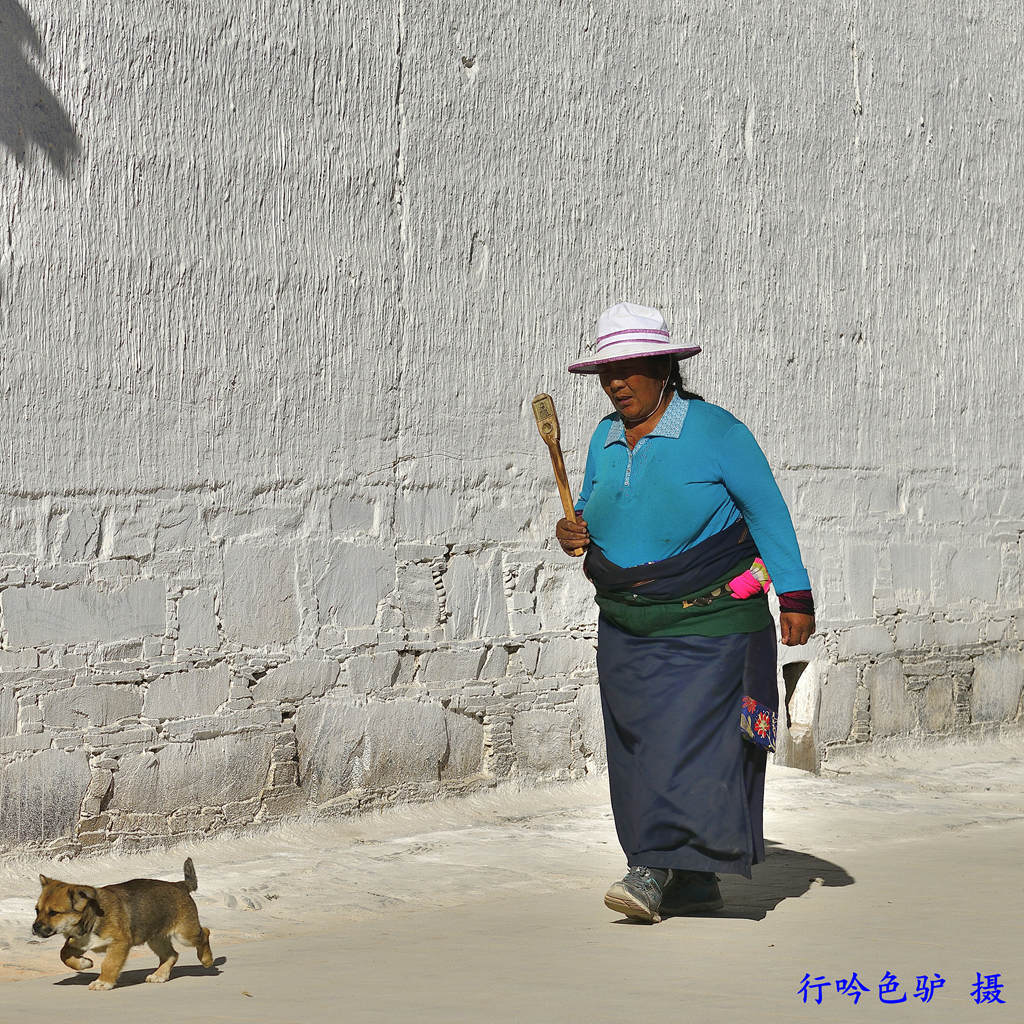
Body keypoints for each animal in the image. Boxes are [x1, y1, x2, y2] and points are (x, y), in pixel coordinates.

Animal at [32, 856, 214, 991]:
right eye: (36, 910)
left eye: (53, 913)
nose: (34, 928)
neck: (92, 919)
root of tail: (180, 885)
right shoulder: (78, 942)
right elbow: (63, 954)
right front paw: (84, 963)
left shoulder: (120, 943)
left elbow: (109, 963)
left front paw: (103, 982)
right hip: (155, 938)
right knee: (171, 955)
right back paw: (159, 975)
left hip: (185, 934)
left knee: (205, 932)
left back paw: (206, 959)